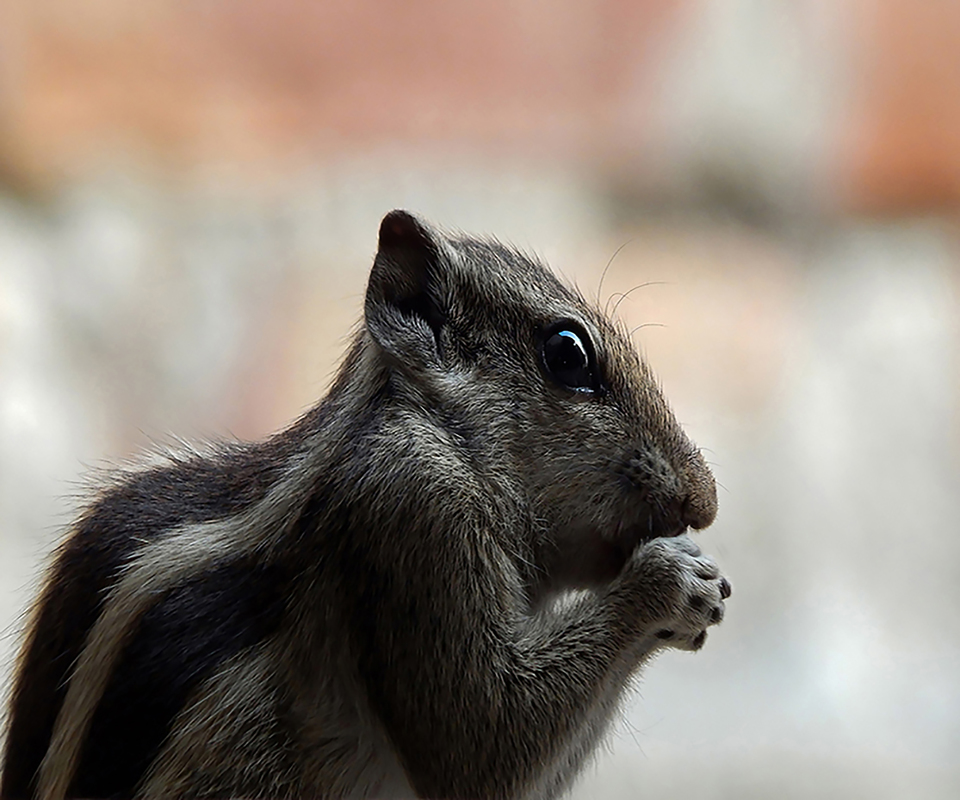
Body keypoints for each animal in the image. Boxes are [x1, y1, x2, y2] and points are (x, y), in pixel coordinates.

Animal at [2, 210, 729, 800]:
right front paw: (672, 584)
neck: (446, 434)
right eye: (567, 352)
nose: (705, 500)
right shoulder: (417, 505)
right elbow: (479, 746)